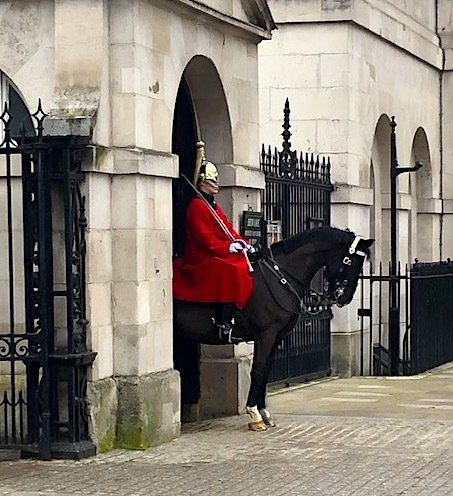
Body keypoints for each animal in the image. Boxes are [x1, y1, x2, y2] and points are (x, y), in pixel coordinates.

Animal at [173, 228, 370, 430]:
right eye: (350, 262)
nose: (344, 298)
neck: (280, 277)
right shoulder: (265, 335)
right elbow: (258, 370)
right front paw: (254, 414)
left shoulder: (276, 337)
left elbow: (266, 371)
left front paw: (263, 412)